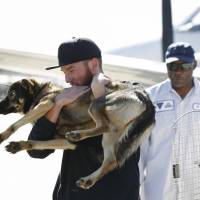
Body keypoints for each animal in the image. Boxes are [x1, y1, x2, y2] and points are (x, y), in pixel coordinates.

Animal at [0, 77, 155, 189]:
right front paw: (17, 145)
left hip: (96, 105)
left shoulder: (46, 104)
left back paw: (77, 134)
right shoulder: (66, 142)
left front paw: (2, 136)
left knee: (105, 126)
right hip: (112, 135)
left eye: (12, 94)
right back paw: (89, 180)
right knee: (110, 160)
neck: (40, 92)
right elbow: (35, 143)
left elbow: (14, 125)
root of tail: (147, 100)